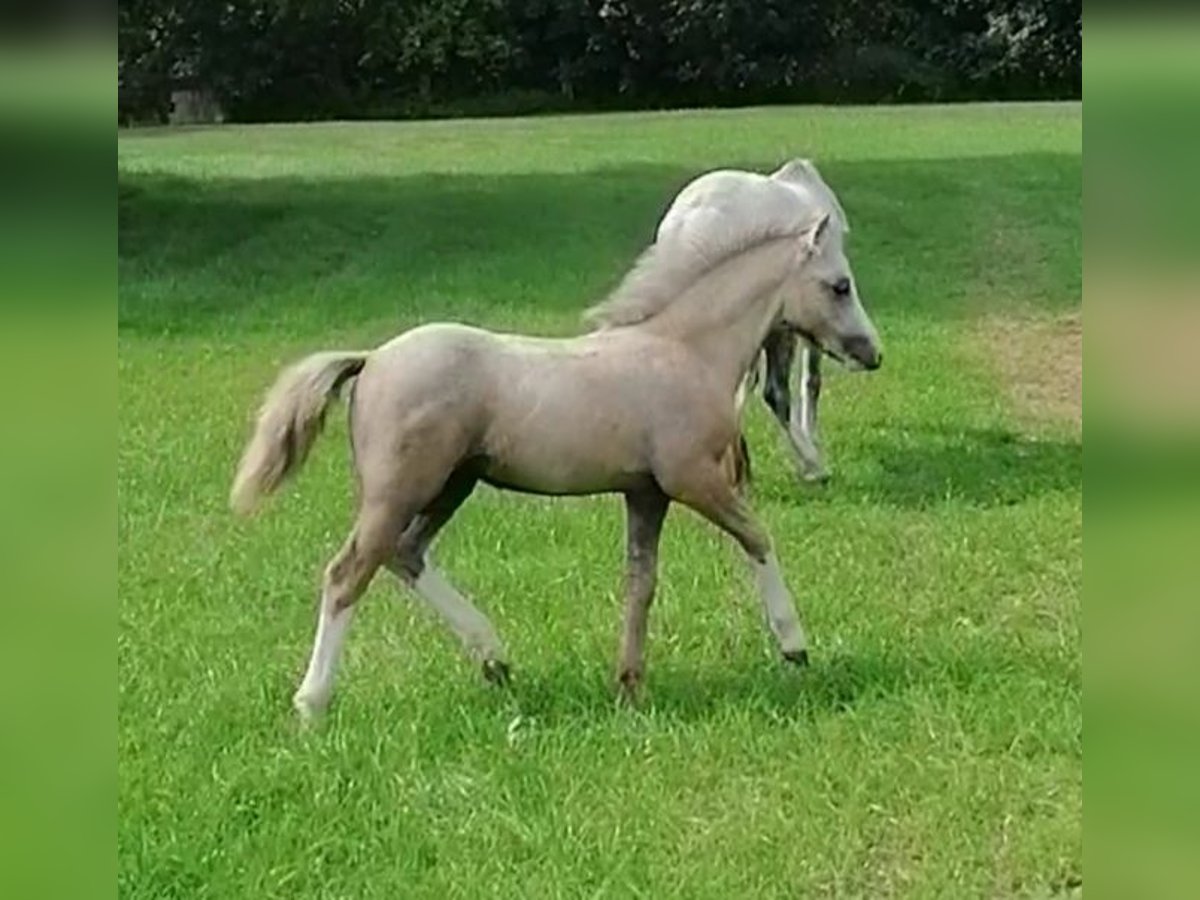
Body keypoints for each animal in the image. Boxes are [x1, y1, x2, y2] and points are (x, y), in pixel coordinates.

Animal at [231, 207, 883, 724]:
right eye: (840, 285)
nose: (872, 354)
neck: (684, 351)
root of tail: (371, 360)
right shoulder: (692, 479)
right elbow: (757, 538)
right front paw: (794, 646)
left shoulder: (646, 493)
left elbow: (640, 582)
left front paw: (629, 686)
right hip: (402, 490)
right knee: (348, 573)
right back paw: (312, 702)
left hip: (452, 484)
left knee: (405, 555)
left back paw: (496, 659)